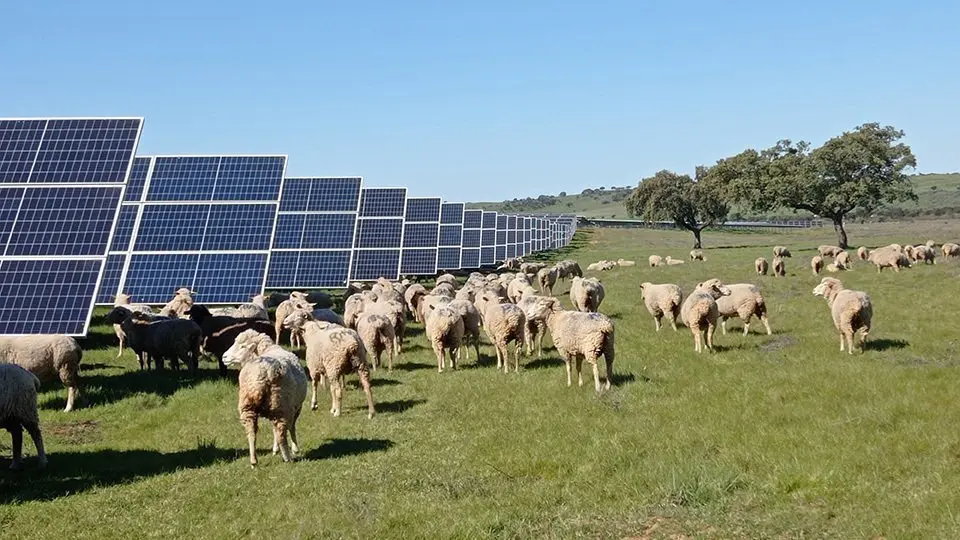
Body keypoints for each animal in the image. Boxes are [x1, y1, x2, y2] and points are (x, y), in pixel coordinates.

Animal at [221, 326, 308, 466]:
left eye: (243, 346)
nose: (224, 357)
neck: (268, 349)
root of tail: (264, 372)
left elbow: (277, 428)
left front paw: (275, 449)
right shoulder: (296, 407)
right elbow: (292, 427)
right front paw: (294, 448)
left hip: (248, 406)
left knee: (251, 431)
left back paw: (253, 461)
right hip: (281, 406)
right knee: (281, 432)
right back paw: (287, 457)